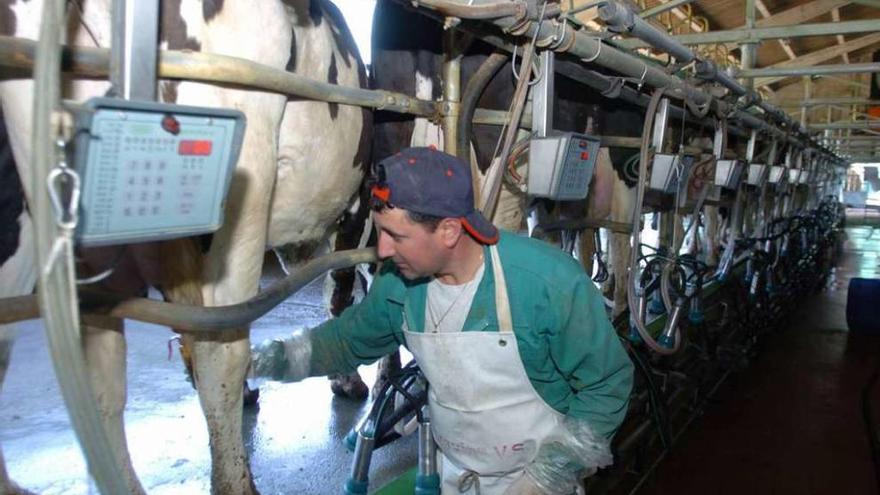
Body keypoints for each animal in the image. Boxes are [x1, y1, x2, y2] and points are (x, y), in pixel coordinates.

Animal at [0, 1, 370, 494]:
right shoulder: (355, 209)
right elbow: (341, 294)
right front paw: (346, 379)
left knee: (101, 373)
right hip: (240, 161)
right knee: (219, 348)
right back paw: (236, 481)